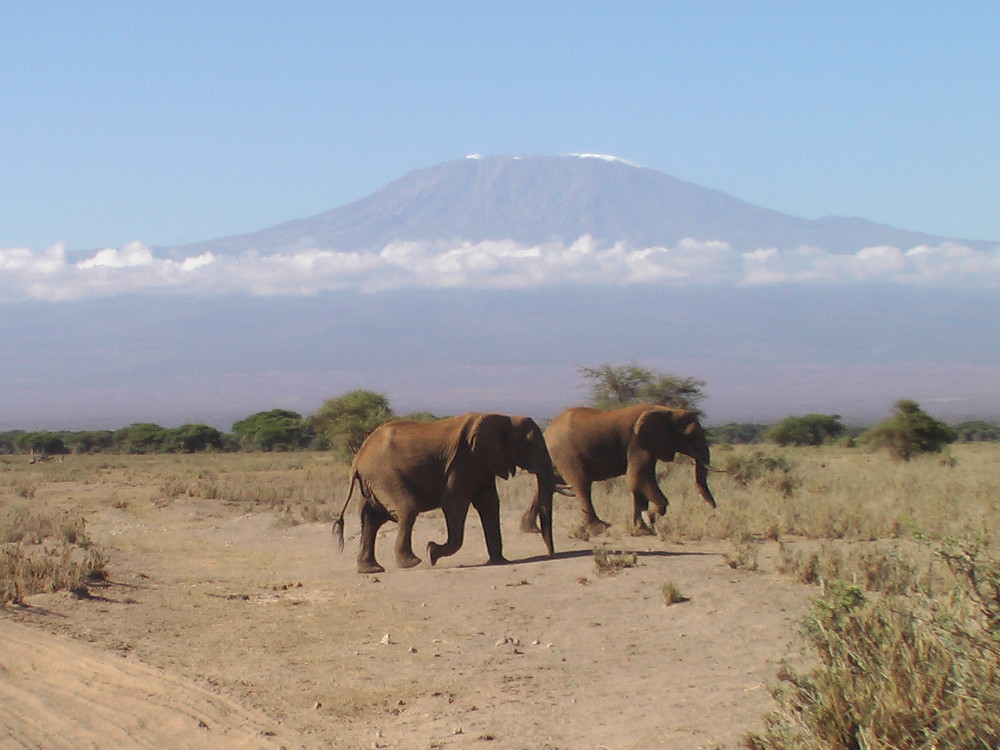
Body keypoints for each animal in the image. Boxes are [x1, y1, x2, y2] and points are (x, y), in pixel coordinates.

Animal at [334, 414, 556, 572]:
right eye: (529, 445)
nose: (551, 555)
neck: (504, 418)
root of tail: (358, 458)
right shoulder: (464, 461)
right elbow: (454, 503)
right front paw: (432, 551)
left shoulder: (482, 463)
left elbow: (489, 503)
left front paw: (500, 562)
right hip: (385, 476)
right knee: (406, 510)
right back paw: (412, 562)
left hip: (374, 482)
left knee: (371, 519)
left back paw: (371, 569)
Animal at [520, 406, 716, 540]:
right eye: (690, 435)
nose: (714, 509)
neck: (665, 410)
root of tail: (548, 431)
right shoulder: (638, 443)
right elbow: (637, 479)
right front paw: (649, 517)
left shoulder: (647, 446)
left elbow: (640, 482)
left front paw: (643, 529)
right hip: (566, 454)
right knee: (581, 485)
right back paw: (599, 529)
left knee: (547, 485)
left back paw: (530, 529)